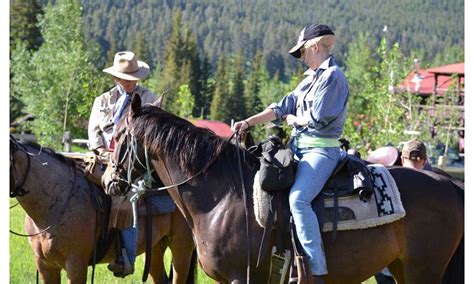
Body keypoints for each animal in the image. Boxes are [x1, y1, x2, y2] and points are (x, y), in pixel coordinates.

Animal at [105, 94, 464, 282]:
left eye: (118, 135)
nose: (110, 180)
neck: (222, 198)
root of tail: (451, 184)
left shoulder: (240, 277)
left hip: (423, 269)